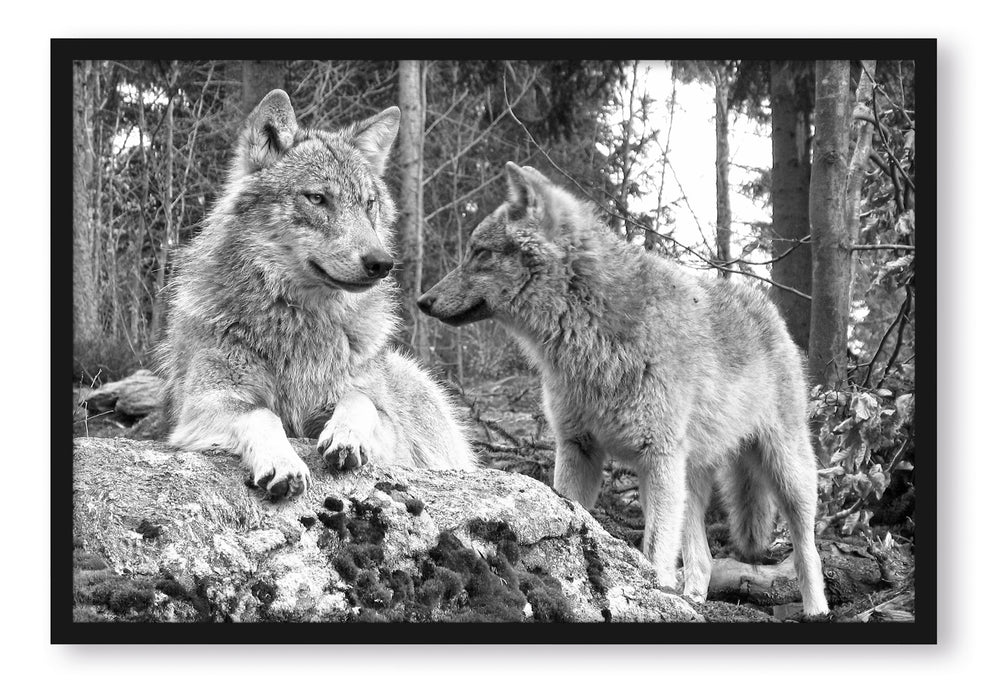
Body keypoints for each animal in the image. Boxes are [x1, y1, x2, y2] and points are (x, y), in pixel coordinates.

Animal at [157, 89, 476, 500]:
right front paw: (283, 461)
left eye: (368, 203)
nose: (381, 262)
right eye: (318, 198)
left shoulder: (386, 428)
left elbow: (360, 401)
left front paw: (346, 437)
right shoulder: (202, 407)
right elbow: (262, 414)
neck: (298, 319)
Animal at [418, 162, 829, 615]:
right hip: (690, 482)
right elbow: (573, 515)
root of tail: (768, 306)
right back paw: (692, 599)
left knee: (807, 550)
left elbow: (654, 551)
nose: (422, 300)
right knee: (702, 559)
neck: (592, 337)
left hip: (785, 473)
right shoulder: (577, 447)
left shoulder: (657, 458)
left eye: (480, 253)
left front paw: (653, 595)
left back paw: (816, 609)